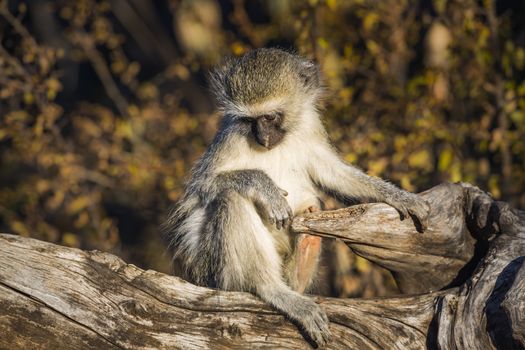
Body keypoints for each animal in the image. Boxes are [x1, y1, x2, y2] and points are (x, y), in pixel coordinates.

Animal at [164, 47, 430, 346]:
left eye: (270, 117)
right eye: (249, 120)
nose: (263, 137)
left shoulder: (311, 125)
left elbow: (333, 173)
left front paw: (399, 196)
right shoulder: (230, 136)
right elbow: (202, 186)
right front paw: (264, 186)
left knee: (309, 208)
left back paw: (303, 255)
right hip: (215, 271)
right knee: (232, 199)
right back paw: (276, 291)